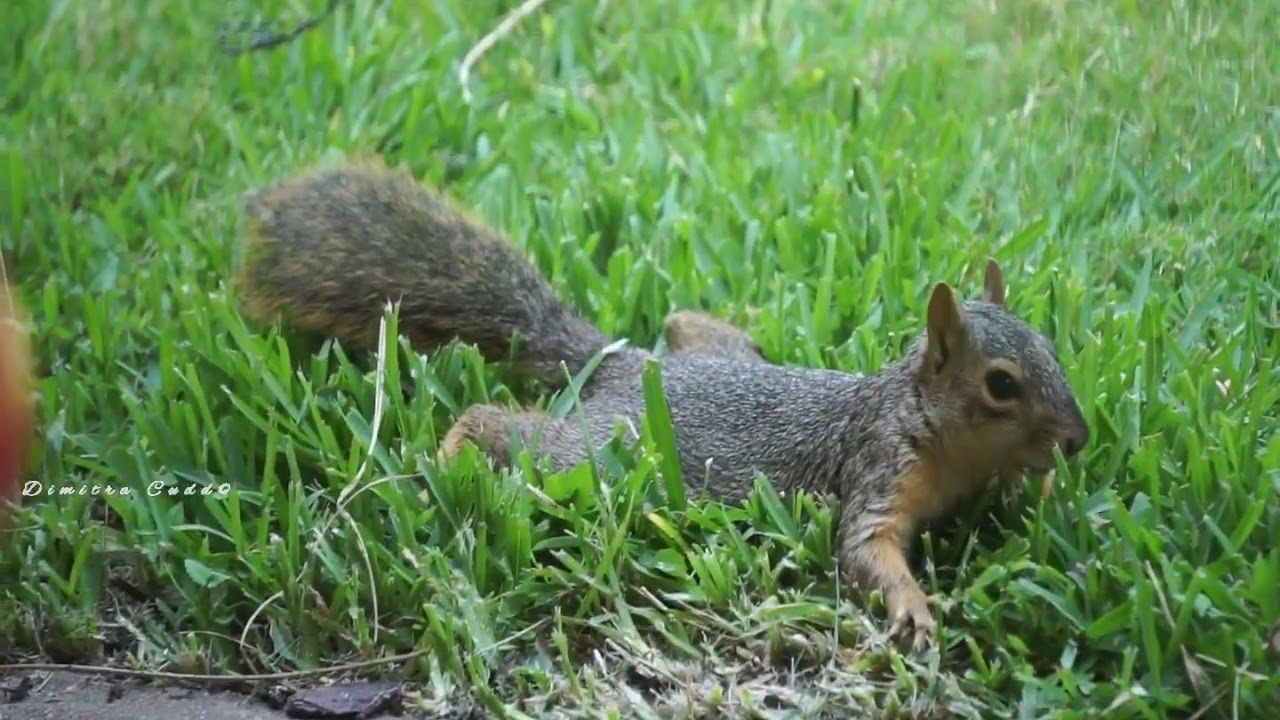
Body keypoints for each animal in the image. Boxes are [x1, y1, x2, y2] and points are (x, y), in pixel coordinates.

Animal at [233, 161, 1090, 649]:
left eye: (1054, 349)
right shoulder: (879, 465)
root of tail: (622, 363)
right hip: (594, 453)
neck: (939, 437)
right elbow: (862, 547)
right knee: (500, 425)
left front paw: (1048, 492)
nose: (1079, 439)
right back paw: (445, 462)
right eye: (1001, 384)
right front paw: (912, 606)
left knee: (681, 320)